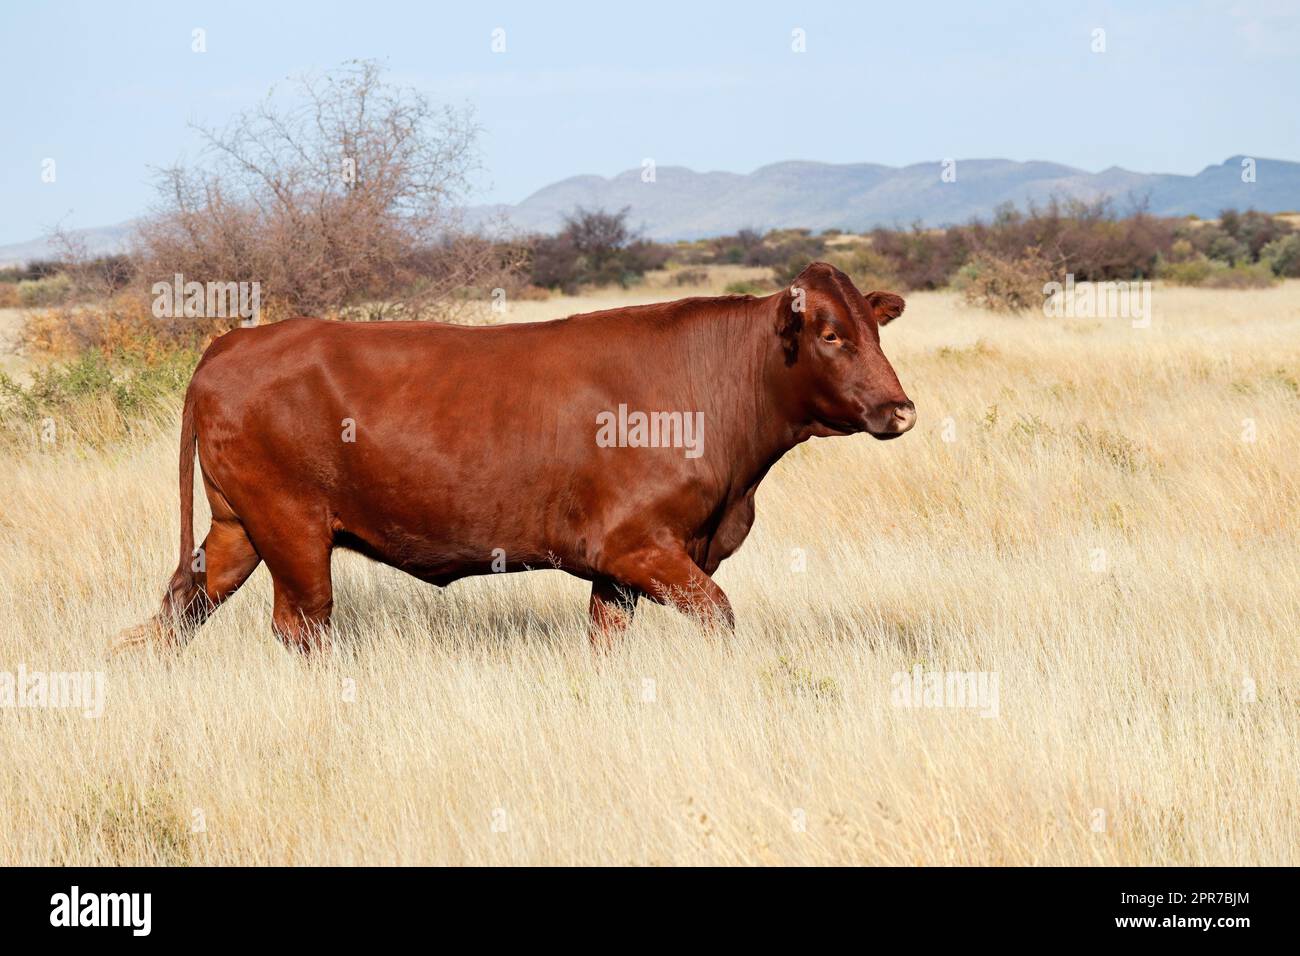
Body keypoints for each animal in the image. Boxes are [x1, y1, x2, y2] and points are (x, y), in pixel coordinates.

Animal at [118, 262, 914, 654]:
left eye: (876, 328)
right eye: (831, 335)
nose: (901, 409)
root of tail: (232, 343)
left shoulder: (617, 572)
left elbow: (607, 643)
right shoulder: (640, 547)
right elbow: (720, 617)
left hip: (237, 528)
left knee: (180, 607)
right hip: (291, 528)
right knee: (302, 626)